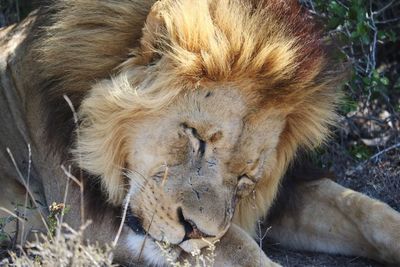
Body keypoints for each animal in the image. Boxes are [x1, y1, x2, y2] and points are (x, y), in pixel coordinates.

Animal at [0, 0, 400, 266]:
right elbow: (238, 247)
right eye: (197, 137)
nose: (195, 231)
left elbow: (367, 211)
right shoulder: (82, 218)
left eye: (247, 177)